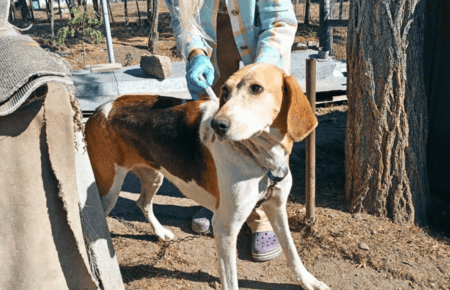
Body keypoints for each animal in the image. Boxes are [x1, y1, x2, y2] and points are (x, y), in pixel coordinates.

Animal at [85, 63, 330, 290]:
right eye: (225, 91)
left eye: (256, 89)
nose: (216, 126)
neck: (260, 157)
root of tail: (99, 110)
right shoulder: (224, 227)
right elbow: (230, 280)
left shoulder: (277, 207)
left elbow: (291, 249)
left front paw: (308, 281)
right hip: (109, 190)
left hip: (153, 176)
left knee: (142, 202)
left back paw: (161, 232)